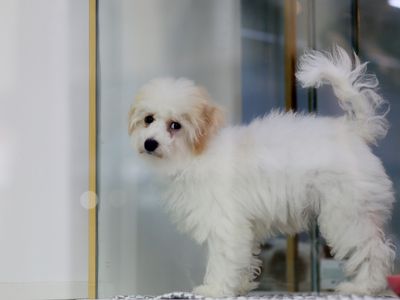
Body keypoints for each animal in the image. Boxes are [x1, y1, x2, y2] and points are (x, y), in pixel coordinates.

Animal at [128, 47, 394, 298]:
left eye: (175, 125)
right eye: (148, 119)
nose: (150, 143)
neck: (196, 155)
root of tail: (353, 130)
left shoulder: (224, 222)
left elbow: (222, 258)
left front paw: (214, 288)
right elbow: (242, 257)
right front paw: (240, 285)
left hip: (347, 212)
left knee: (371, 249)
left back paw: (364, 286)